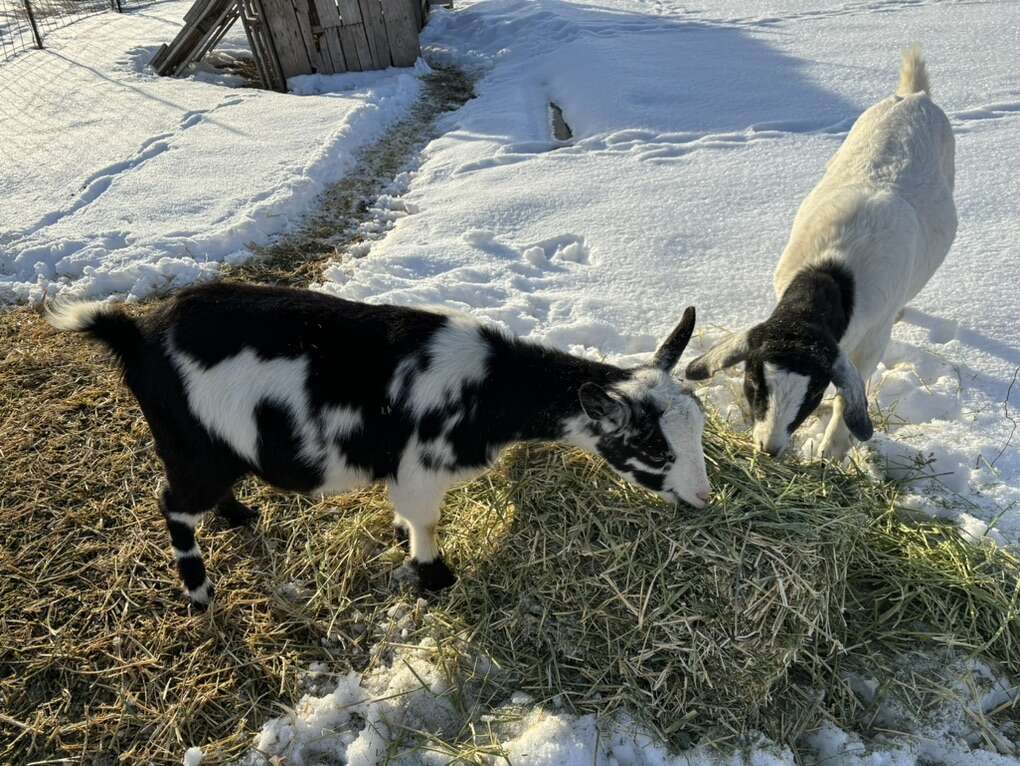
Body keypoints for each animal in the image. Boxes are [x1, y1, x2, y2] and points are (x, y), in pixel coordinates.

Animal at [47, 282, 711, 608]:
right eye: (656, 450)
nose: (704, 500)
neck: (488, 386)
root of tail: (137, 337)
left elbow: (404, 517)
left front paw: (399, 541)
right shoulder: (420, 470)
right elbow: (427, 523)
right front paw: (434, 578)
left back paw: (241, 516)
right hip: (192, 447)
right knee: (172, 505)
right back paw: (198, 593)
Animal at [686, 47, 956, 460]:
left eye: (813, 393)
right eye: (754, 382)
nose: (769, 448)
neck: (831, 275)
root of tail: (916, 96)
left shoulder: (872, 338)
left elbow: (848, 400)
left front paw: (829, 453)